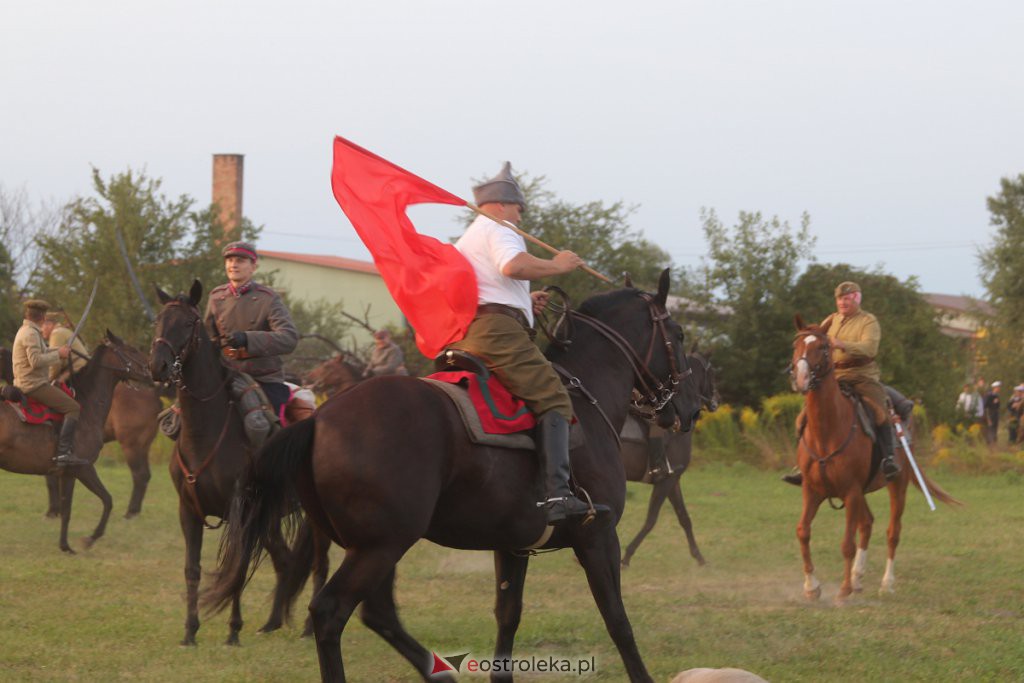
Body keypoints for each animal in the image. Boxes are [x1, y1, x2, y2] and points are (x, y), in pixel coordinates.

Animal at [202, 272, 700, 683]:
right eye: (676, 333)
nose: (689, 409)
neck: (586, 398)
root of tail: (320, 419)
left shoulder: (513, 546)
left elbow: (508, 616)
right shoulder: (598, 538)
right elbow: (617, 620)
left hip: (376, 546)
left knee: (378, 614)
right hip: (382, 546)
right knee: (332, 612)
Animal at [614, 350, 720, 569]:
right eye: (712, 373)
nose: (716, 401)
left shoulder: (673, 479)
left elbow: (684, 517)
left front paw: (699, 556)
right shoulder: (666, 480)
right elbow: (651, 519)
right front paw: (626, 556)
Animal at [790, 317, 958, 602]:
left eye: (823, 348)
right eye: (796, 345)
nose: (801, 378)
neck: (827, 430)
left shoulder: (851, 491)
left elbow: (847, 543)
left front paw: (843, 590)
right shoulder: (813, 490)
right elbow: (803, 532)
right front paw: (811, 587)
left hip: (896, 485)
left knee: (892, 532)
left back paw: (885, 583)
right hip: (861, 493)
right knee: (867, 523)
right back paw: (858, 577)